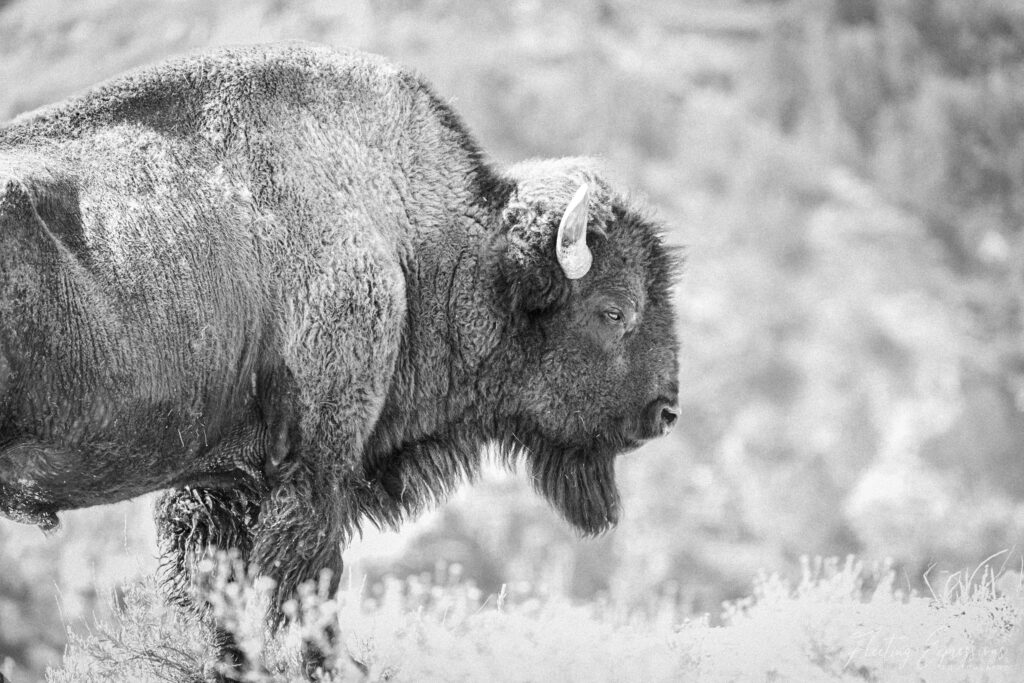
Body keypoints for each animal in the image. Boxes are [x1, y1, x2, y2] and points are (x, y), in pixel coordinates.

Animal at [2, 42, 679, 679]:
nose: (665, 411)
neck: (405, 237)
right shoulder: (314, 464)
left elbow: (221, 586)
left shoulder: (219, 483)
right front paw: (331, 665)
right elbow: (310, 581)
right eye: (614, 311)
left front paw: (233, 663)